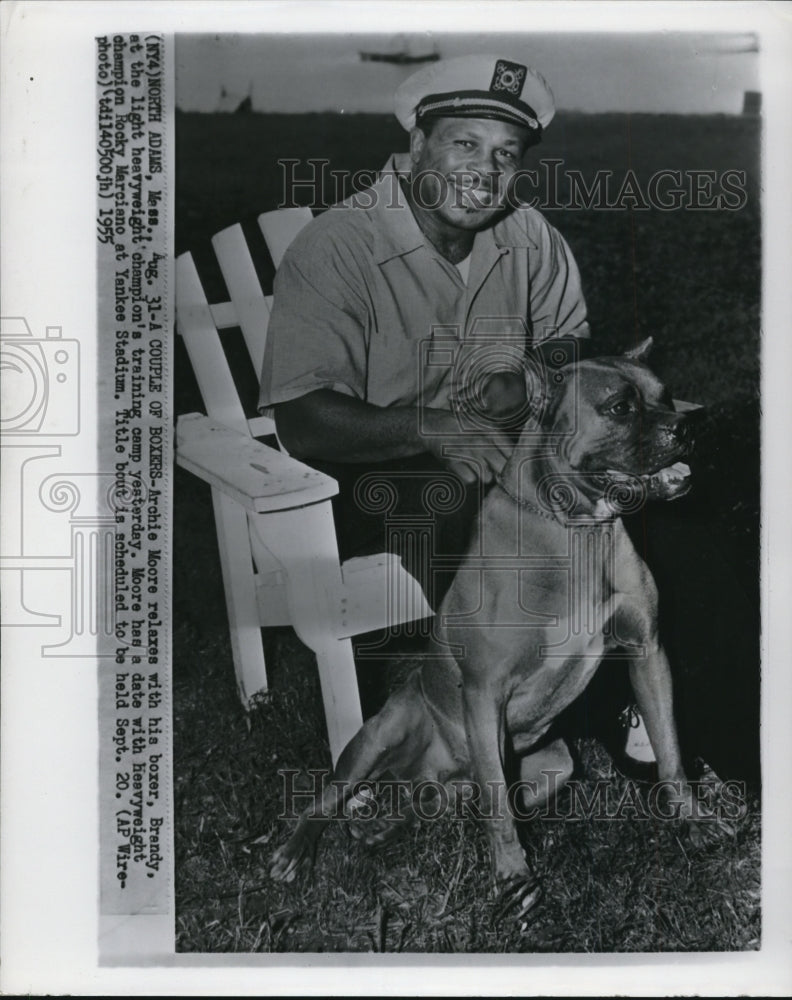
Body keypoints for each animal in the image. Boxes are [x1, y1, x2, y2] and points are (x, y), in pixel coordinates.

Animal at [270, 340, 716, 924]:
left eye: (665, 396)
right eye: (620, 407)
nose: (687, 427)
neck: (575, 529)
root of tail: (428, 770)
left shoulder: (648, 653)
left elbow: (670, 749)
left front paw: (691, 819)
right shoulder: (484, 693)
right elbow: (498, 806)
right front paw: (514, 879)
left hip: (553, 765)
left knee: (439, 800)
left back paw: (388, 824)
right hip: (375, 737)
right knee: (329, 800)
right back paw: (297, 850)